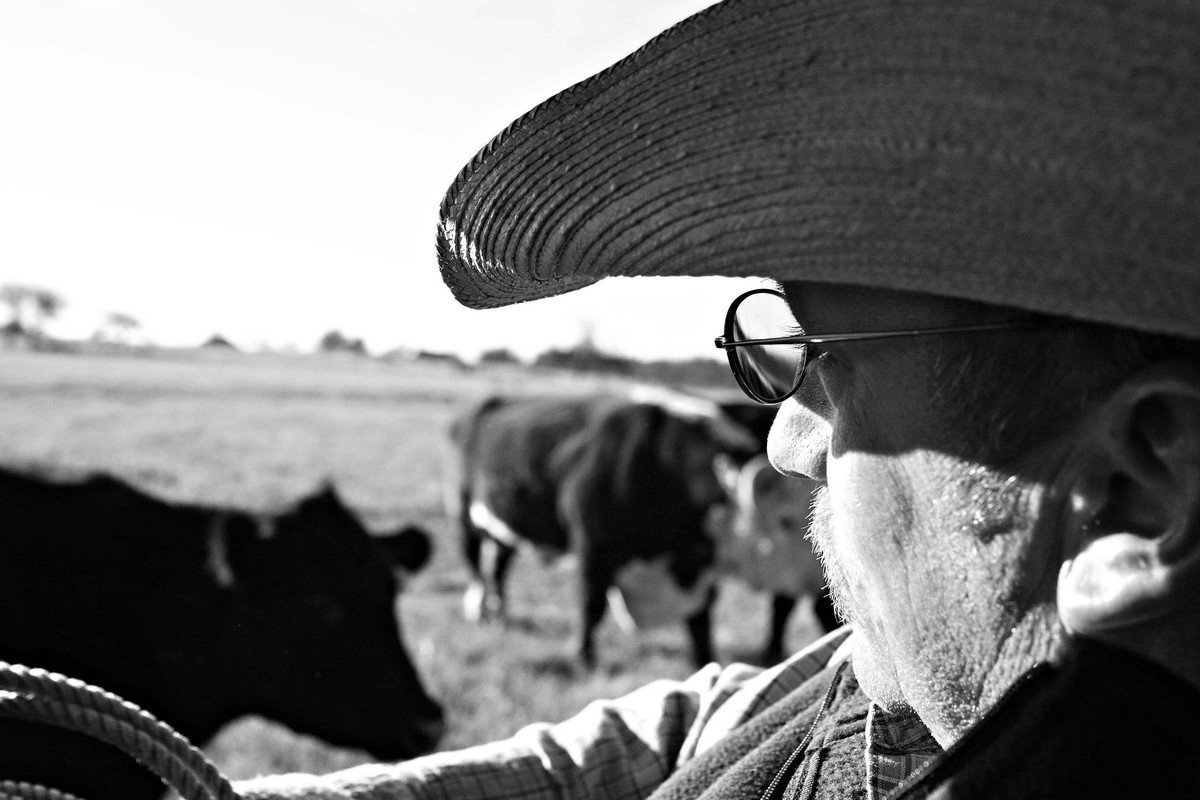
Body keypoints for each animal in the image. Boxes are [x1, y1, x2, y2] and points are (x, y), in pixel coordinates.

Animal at [441, 391, 758, 666]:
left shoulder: (700, 568)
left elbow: (700, 620)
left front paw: (705, 661)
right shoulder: (593, 548)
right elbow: (592, 607)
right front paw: (584, 657)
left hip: (508, 528)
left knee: (499, 569)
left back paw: (500, 617)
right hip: (465, 513)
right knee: (474, 563)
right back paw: (479, 612)